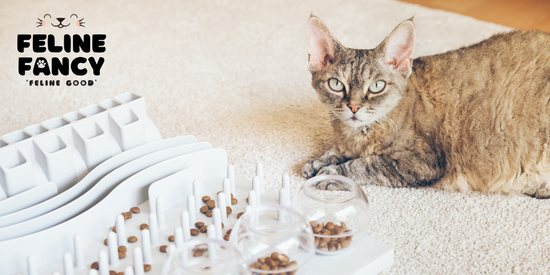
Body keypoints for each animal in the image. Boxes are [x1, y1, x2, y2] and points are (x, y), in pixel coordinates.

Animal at [304, 15, 550, 199]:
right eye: (336, 84)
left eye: (376, 86)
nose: (354, 107)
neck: (356, 135)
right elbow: (336, 151)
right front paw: (320, 161)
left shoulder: (420, 163)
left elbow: (364, 165)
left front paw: (331, 173)